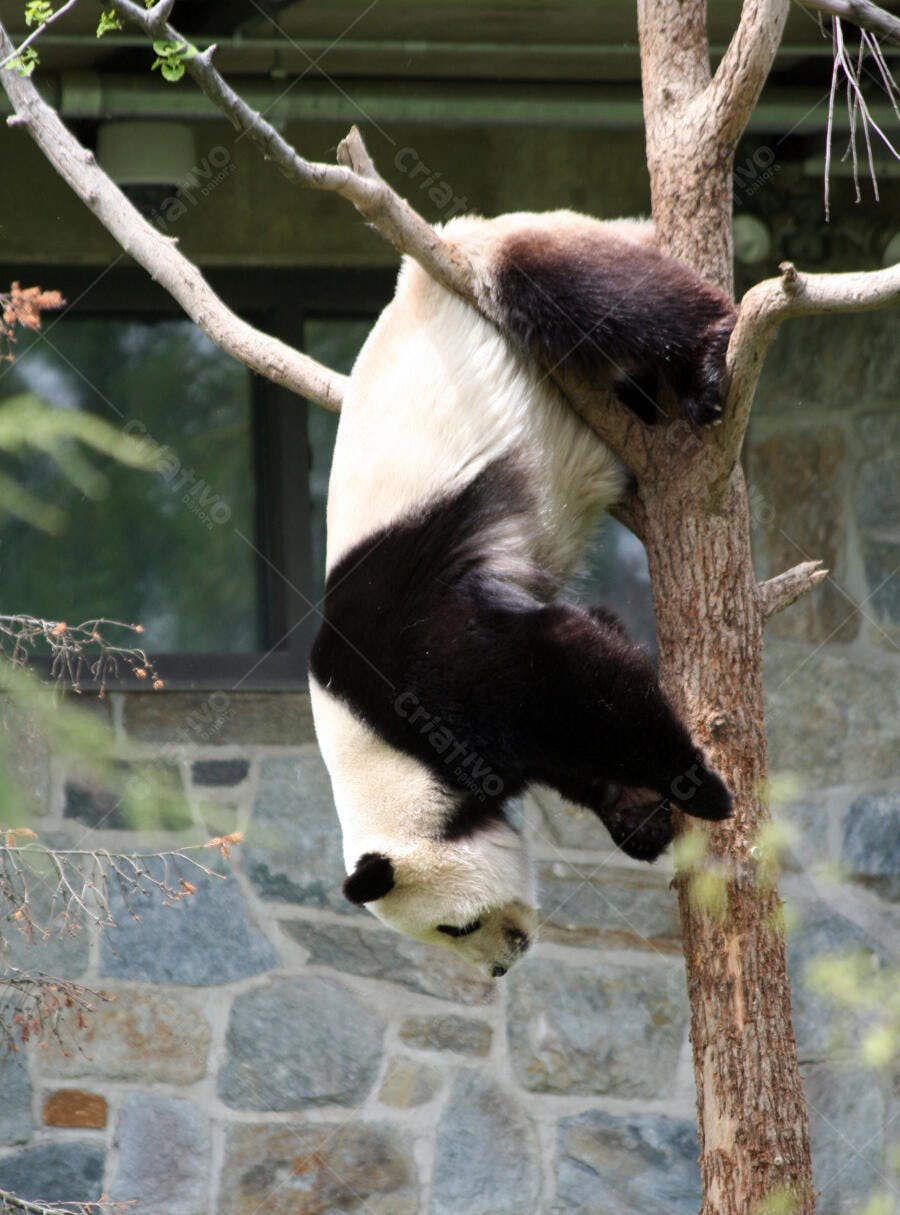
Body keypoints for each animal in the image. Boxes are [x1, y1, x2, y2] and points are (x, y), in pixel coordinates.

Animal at [309, 209, 736, 979]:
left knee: (593, 292)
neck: (378, 749)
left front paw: (698, 788)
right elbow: (582, 680)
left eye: (452, 925)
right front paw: (636, 813)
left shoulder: (418, 666)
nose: (502, 966)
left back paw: (710, 360)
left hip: (493, 264)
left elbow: (558, 665)